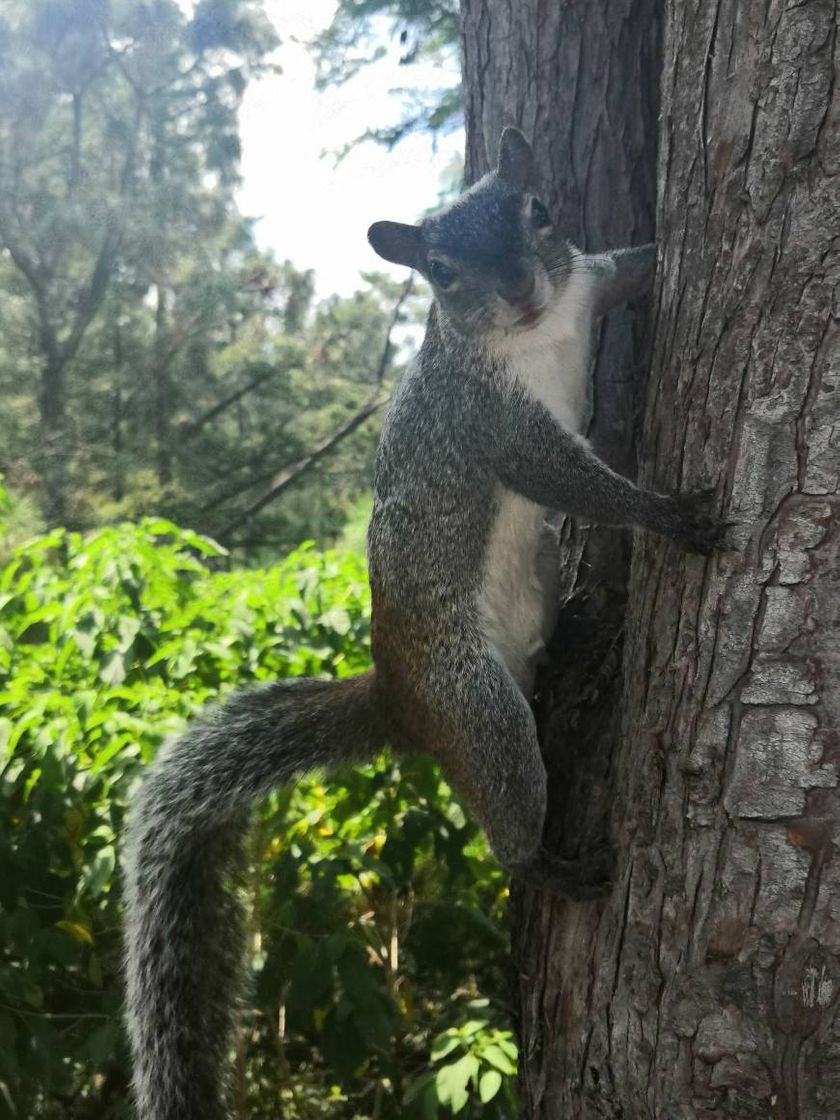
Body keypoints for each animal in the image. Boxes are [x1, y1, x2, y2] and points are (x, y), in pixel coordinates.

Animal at [123, 127, 725, 1120]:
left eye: (538, 211)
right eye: (439, 271)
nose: (521, 289)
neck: (538, 332)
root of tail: (399, 698)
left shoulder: (585, 285)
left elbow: (625, 271)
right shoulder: (492, 423)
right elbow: (574, 481)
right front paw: (670, 515)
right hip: (477, 709)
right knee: (507, 817)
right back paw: (552, 865)